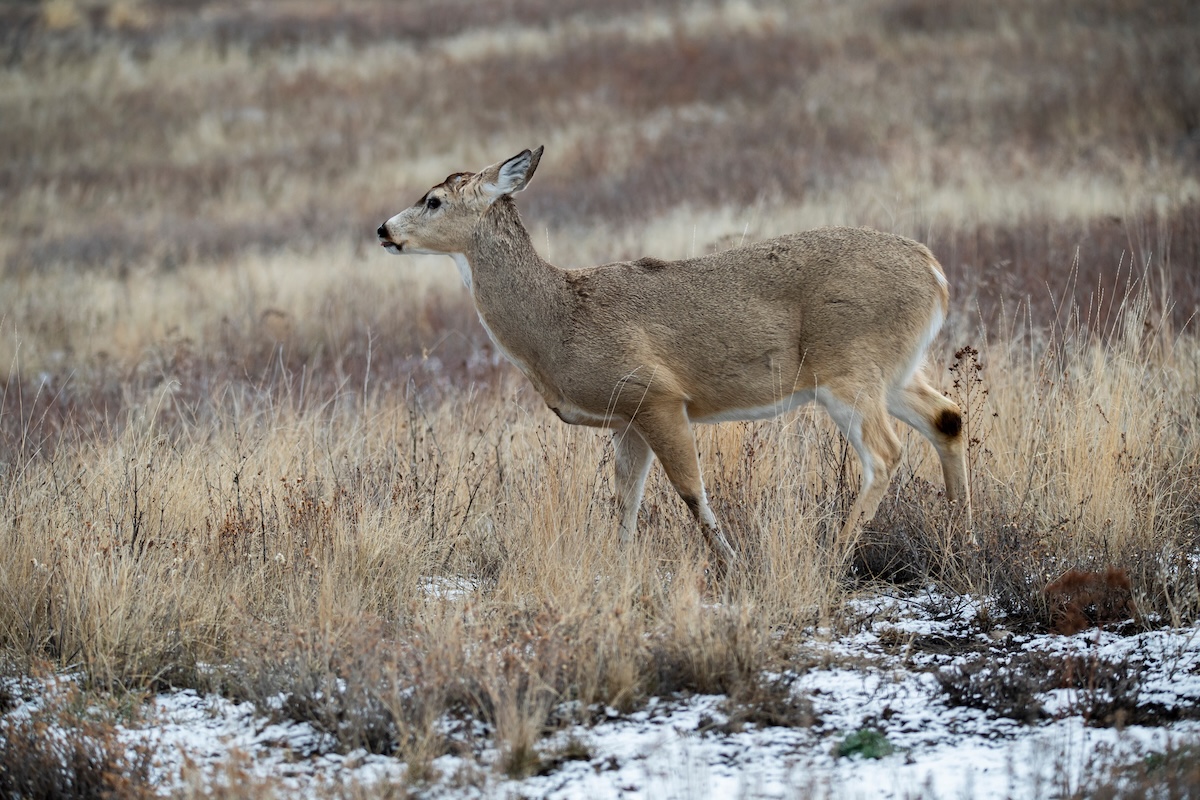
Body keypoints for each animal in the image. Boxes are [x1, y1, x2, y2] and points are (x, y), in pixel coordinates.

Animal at [377, 146, 971, 567]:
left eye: (433, 199)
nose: (383, 229)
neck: (559, 322)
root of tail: (937, 274)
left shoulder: (656, 394)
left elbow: (690, 492)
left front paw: (732, 565)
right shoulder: (626, 418)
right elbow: (625, 500)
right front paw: (618, 570)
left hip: (848, 368)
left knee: (886, 453)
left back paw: (834, 556)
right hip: (893, 371)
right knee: (948, 416)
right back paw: (960, 532)